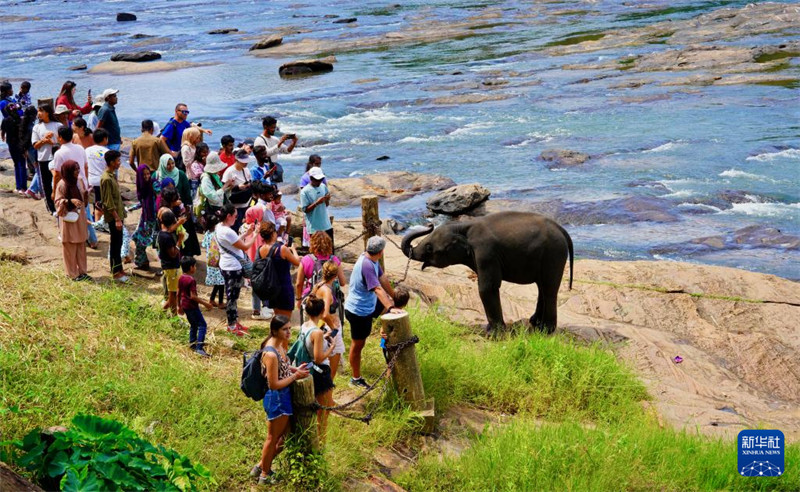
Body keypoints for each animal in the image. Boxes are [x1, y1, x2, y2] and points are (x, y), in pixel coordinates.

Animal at [404, 211, 572, 334]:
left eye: (429, 248)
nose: (430, 224)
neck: (463, 226)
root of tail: (561, 229)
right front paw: (490, 330)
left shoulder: (486, 253)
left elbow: (487, 287)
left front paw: (493, 335)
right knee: (542, 287)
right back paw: (535, 323)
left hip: (553, 254)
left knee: (549, 289)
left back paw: (545, 330)